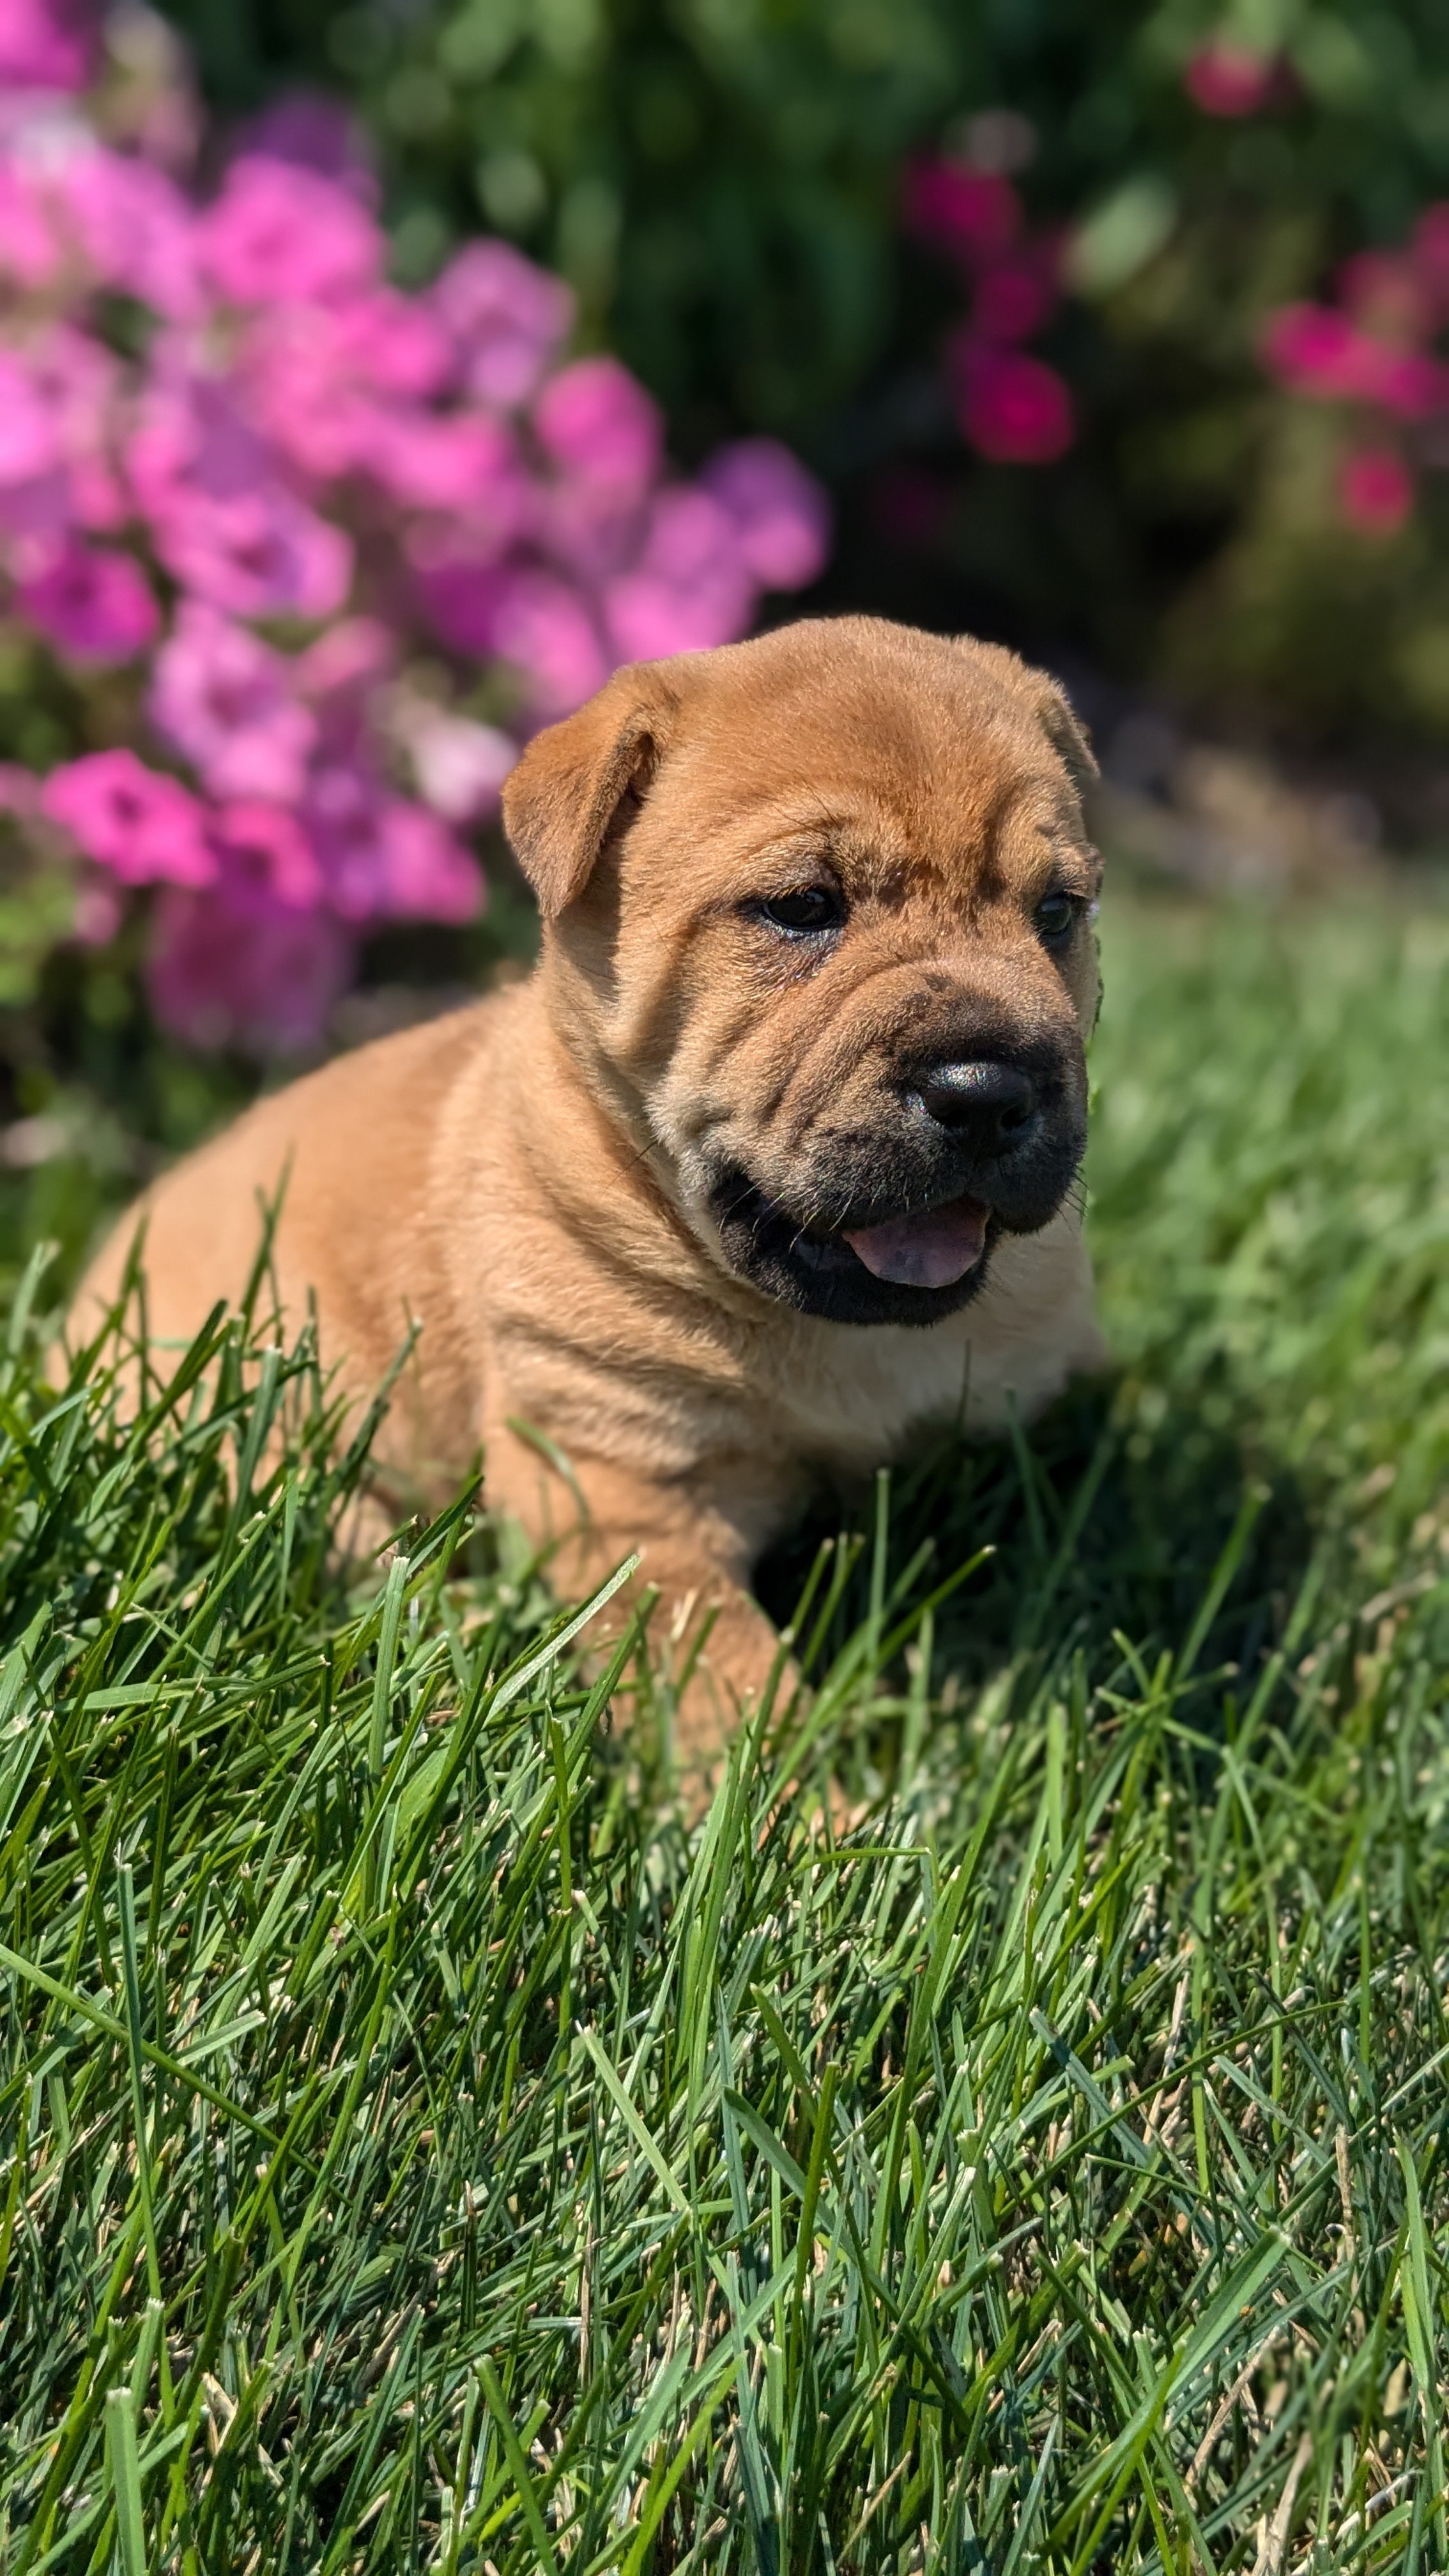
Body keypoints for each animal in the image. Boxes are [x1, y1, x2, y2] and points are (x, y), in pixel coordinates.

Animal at [70, 613, 1103, 1741]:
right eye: (802, 907)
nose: (986, 1090)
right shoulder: (615, 1481)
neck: (837, 1338)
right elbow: (726, 1677)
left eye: (1057, 913)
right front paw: (798, 1790)